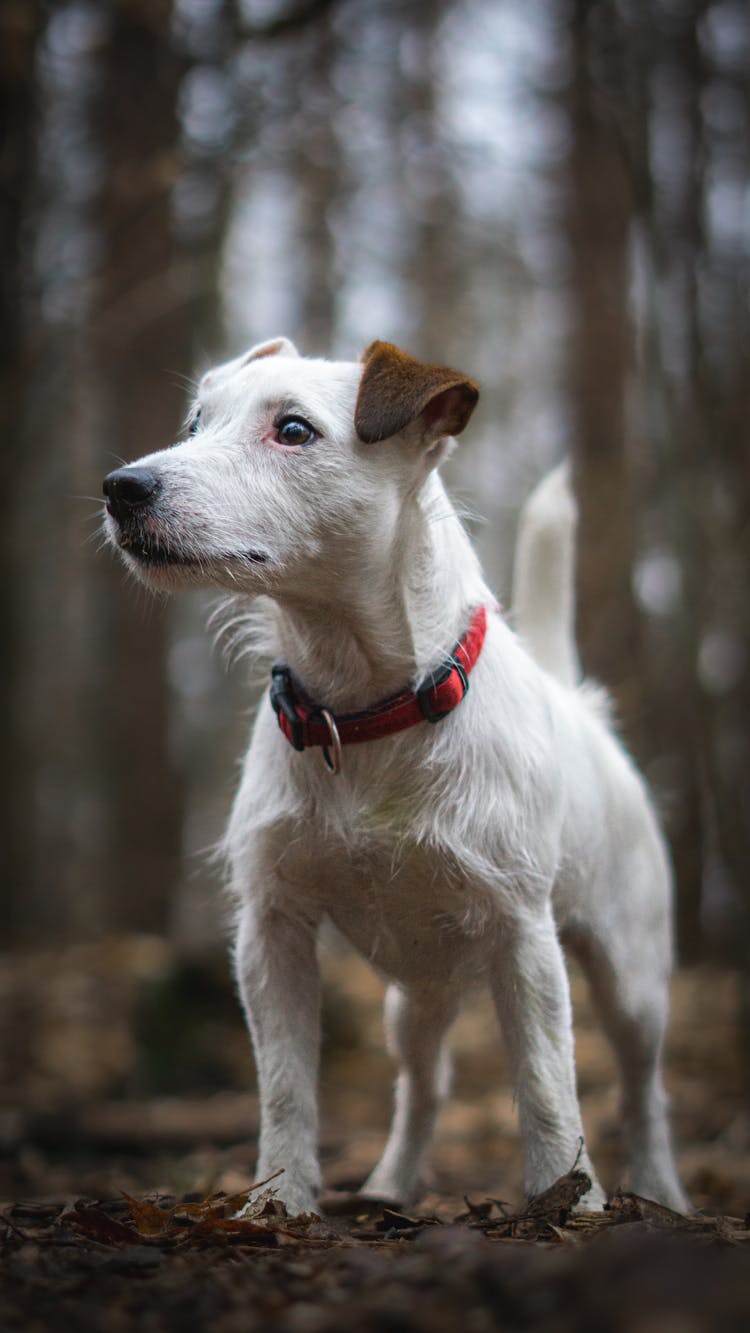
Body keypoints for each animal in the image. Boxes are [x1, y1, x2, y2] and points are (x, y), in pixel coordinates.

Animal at [102, 335, 687, 1221]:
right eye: (196, 423)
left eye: (293, 429)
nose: (122, 487)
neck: (367, 710)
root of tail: (578, 702)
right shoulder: (273, 930)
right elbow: (285, 1087)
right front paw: (278, 1203)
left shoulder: (524, 937)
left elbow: (548, 1084)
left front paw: (568, 1201)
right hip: (412, 1000)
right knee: (424, 1084)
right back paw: (390, 1186)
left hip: (632, 980)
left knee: (643, 1088)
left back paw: (659, 1189)